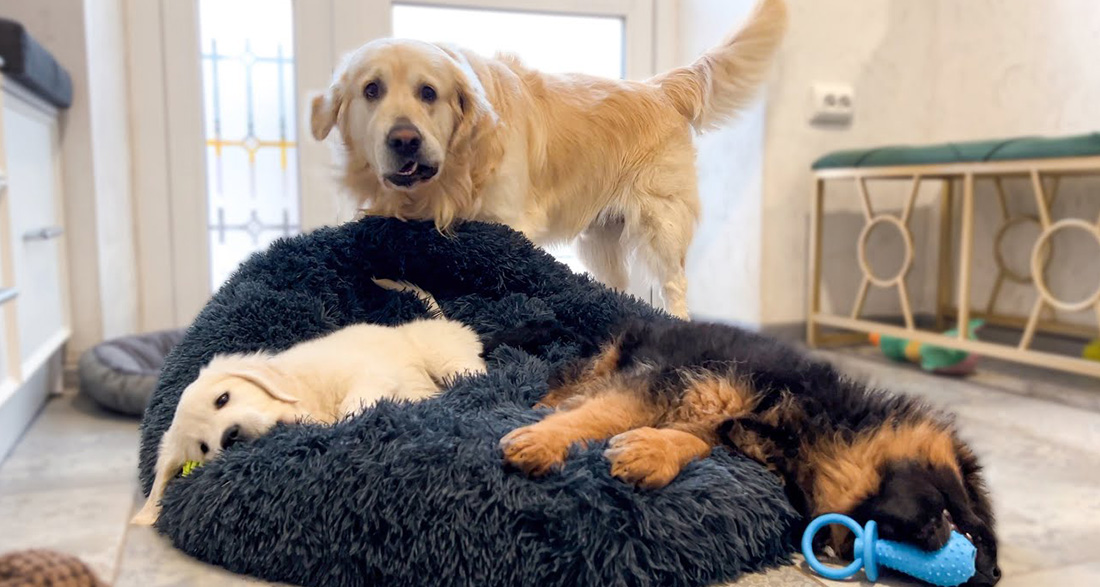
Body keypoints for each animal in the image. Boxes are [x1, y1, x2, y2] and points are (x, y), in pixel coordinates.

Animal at [130, 316, 484, 529]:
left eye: (222, 399)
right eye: (203, 447)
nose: (230, 436)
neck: (306, 402)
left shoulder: (368, 372)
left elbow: (356, 401)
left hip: (441, 353)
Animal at [310, 0, 787, 320]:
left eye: (428, 92)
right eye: (371, 90)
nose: (404, 140)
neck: (456, 176)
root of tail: (658, 87)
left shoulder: (508, 226)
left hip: (661, 224)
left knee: (674, 285)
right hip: (600, 238)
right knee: (616, 286)